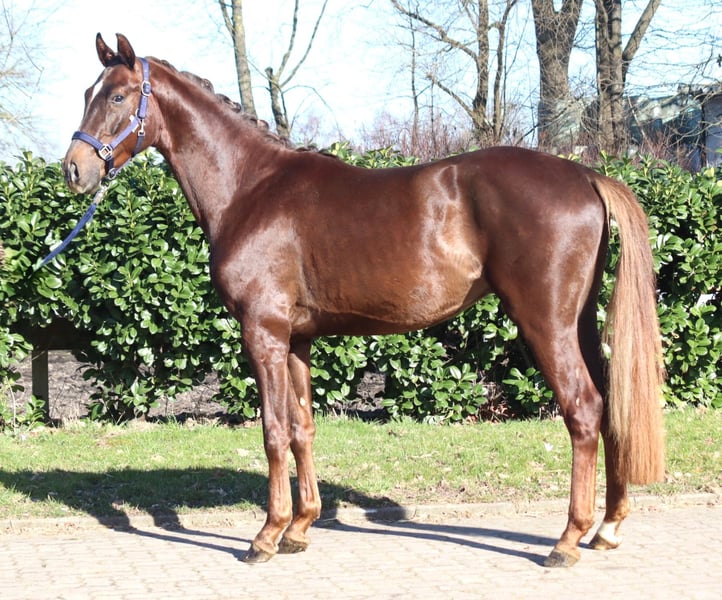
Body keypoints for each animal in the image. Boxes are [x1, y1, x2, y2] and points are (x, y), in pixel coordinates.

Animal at [63, 34, 665, 568]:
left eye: (117, 96)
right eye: (87, 90)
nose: (74, 169)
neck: (250, 188)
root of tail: (585, 175)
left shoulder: (263, 332)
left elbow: (273, 432)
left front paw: (266, 536)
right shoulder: (297, 340)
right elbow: (302, 428)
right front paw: (300, 527)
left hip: (546, 323)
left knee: (583, 410)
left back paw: (567, 540)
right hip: (579, 323)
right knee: (610, 406)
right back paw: (607, 528)